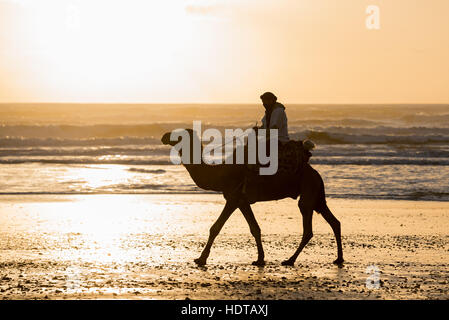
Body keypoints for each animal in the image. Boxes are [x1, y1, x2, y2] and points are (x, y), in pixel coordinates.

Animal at [161, 129, 344, 266]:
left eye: (178, 134)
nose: (164, 136)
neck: (220, 173)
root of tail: (316, 173)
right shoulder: (242, 201)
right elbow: (255, 228)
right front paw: (260, 259)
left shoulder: (233, 198)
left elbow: (215, 228)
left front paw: (201, 259)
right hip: (317, 196)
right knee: (334, 222)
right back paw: (338, 258)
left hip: (308, 192)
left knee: (308, 229)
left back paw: (290, 260)